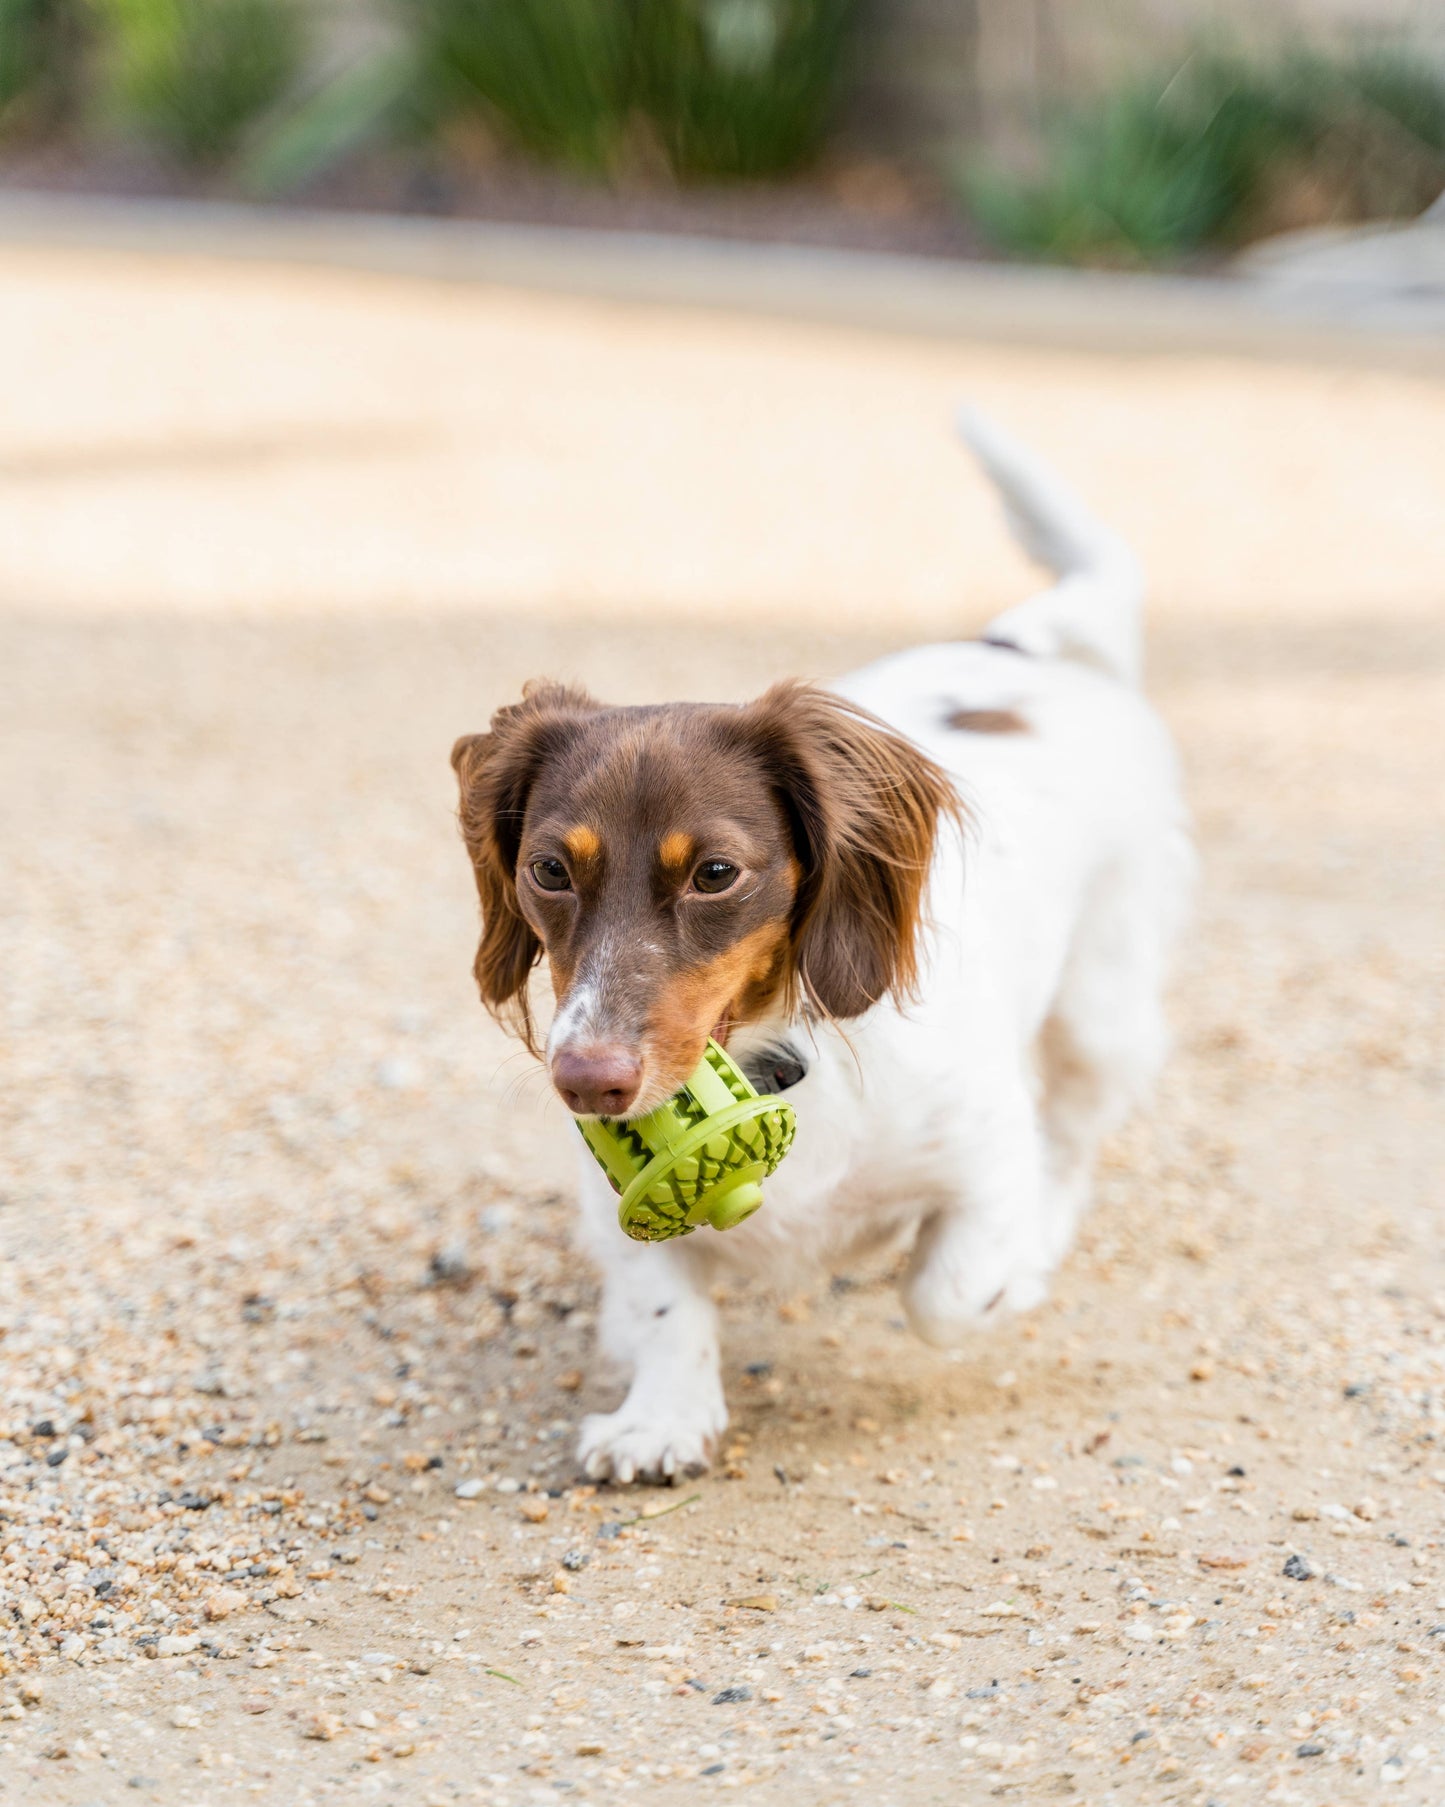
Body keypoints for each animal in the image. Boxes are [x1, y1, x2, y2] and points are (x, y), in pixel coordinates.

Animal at [455, 419, 1199, 1481]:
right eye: (549, 870)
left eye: (715, 873)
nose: (587, 1081)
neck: (776, 1054)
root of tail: (1020, 647)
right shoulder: (612, 1207)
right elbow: (661, 1297)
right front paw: (660, 1418)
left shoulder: (982, 1151)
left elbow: (945, 1291)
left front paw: (1007, 1275)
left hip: (1104, 1001)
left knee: (1072, 1132)